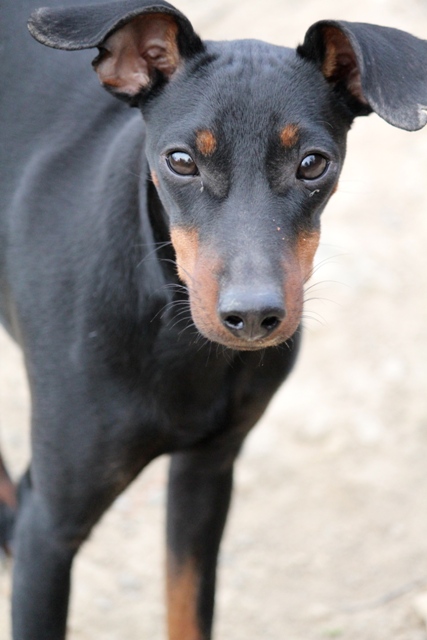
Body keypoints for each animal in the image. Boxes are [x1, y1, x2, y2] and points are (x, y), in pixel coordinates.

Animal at [0, 0, 427, 636]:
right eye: (180, 160)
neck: (175, 336)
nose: (252, 316)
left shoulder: (207, 471)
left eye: (313, 164)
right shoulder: (51, 531)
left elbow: (188, 609)